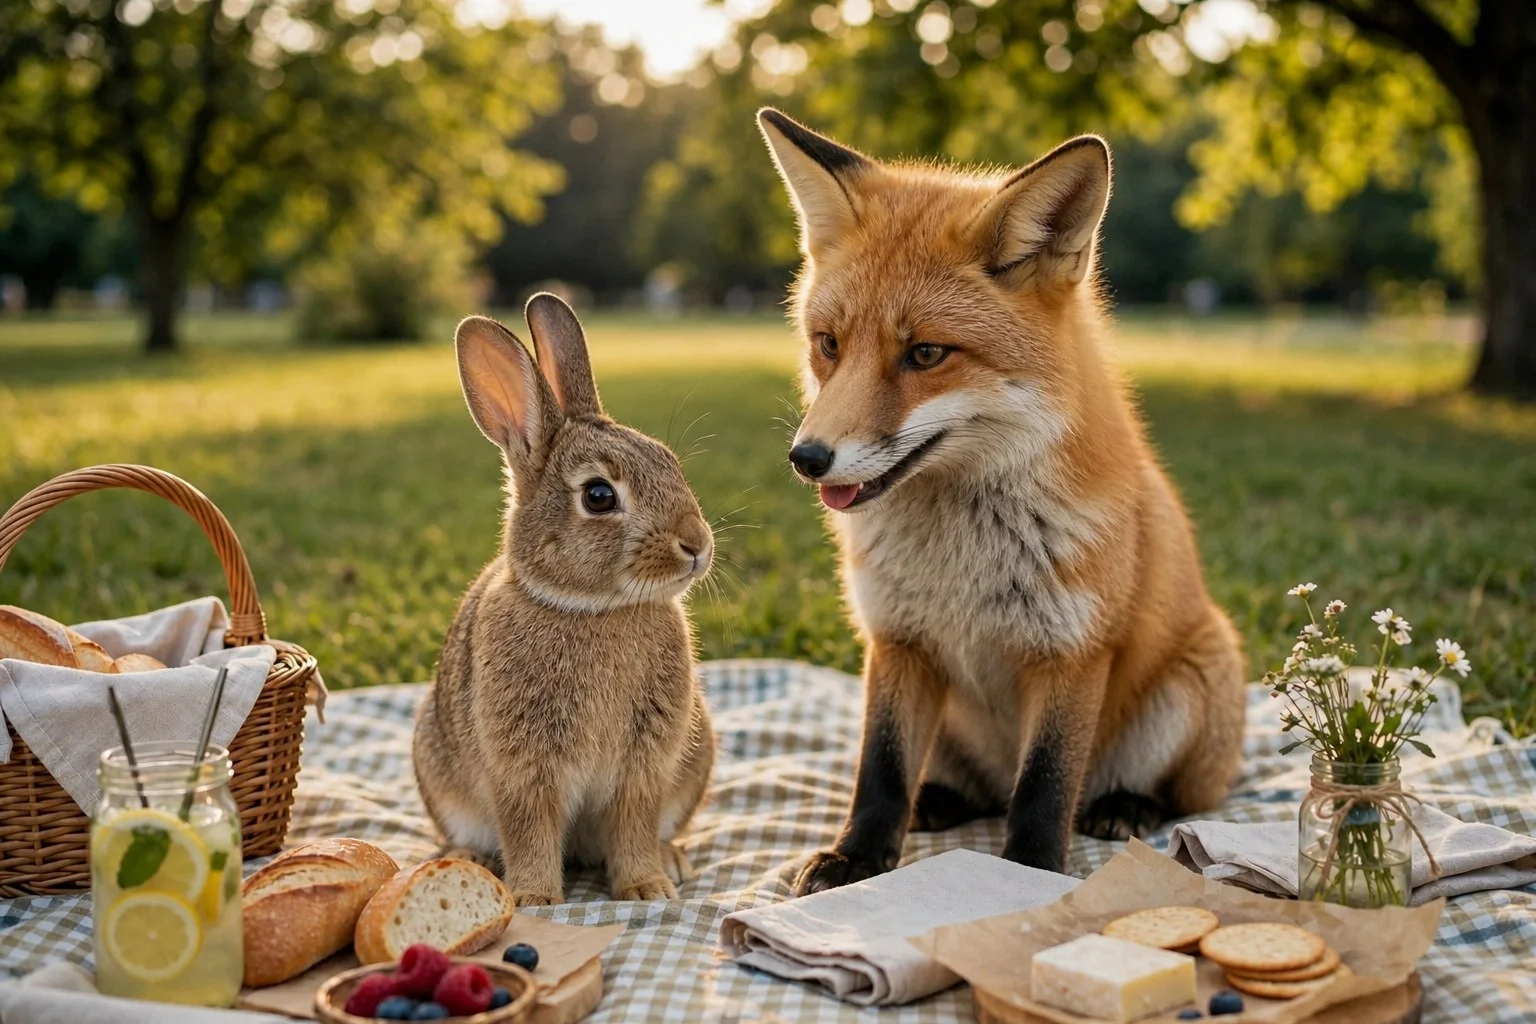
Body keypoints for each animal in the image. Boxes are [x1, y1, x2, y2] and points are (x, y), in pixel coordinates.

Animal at [413, 293, 716, 906]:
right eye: (598, 496)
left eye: (669, 461)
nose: (697, 544)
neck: (594, 607)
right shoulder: (522, 767)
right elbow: (528, 828)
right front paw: (533, 898)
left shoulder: (645, 764)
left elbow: (634, 824)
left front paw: (647, 889)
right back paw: (467, 858)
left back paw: (672, 861)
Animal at [756, 108, 1247, 895]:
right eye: (828, 344)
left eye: (926, 354)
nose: (808, 458)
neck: (959, 559)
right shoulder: (897, 640)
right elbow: (880, 770)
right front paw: (859, 857)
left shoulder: (1072, 651)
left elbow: (1044, 787)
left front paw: (1027, 875)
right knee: (974, 789)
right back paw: (939, 800)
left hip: (1193, 685)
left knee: (1178, 796)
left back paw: (1126, 806)